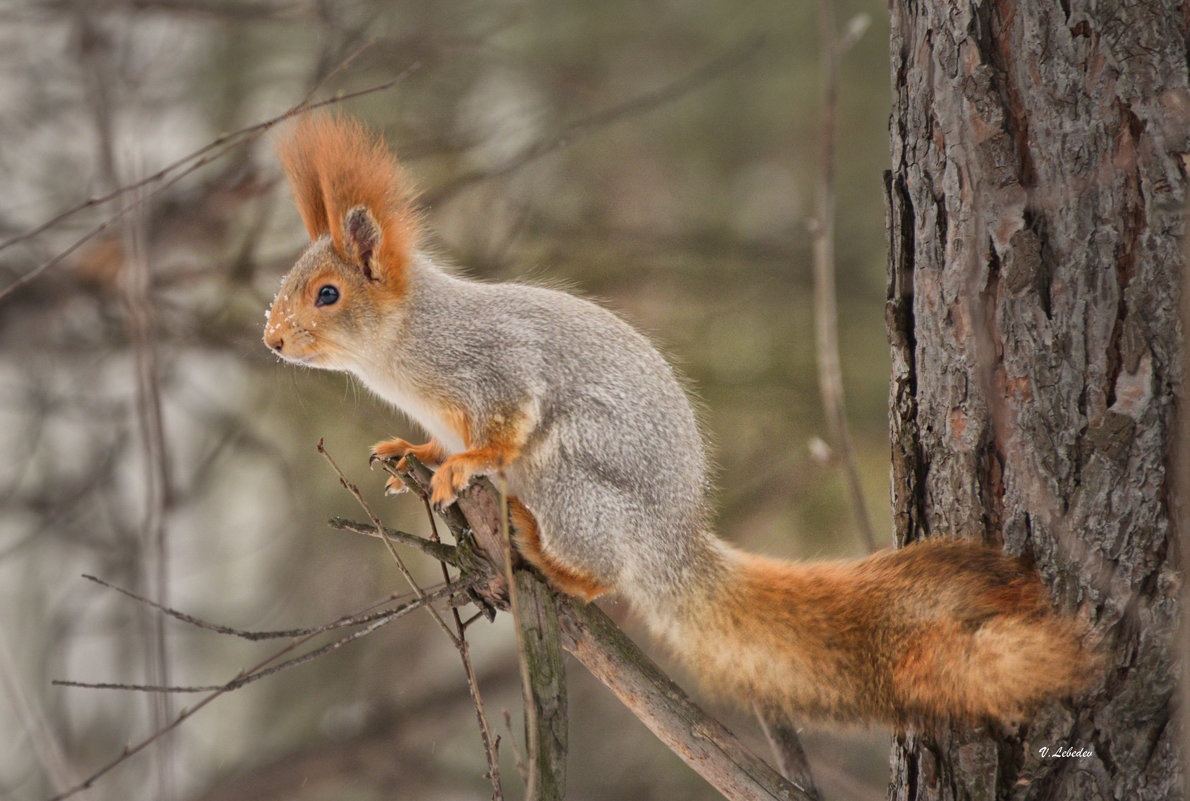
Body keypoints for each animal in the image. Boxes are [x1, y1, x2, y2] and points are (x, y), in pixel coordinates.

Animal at [260, 112, 1094, 723]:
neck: (404, 349)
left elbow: (500, 428)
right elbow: (435, 437)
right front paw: (413, 451)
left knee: (600, 576)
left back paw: (543, 550)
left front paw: (460, 467)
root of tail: (672, 539)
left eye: (328, 294)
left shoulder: (494, 370)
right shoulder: (447, 405)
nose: (270, 340)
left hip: (570, 484)